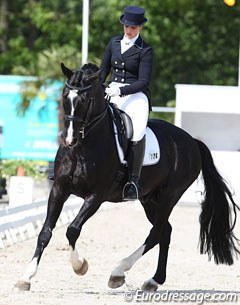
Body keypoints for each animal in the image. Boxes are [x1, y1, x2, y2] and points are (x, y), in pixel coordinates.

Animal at [15, 62, 238, 290]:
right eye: (64, 96)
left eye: (84, 100)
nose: (69, 139)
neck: (83, 146)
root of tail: (192, 141)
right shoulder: (59, 189)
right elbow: (45, 232)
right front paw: (26, 277)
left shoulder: (96, 196)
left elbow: (72, 230)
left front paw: (80, 266)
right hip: (149, 199)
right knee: (165, 232)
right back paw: (154, 280)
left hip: (169, 197)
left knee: (156, 232)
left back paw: (119, 272)